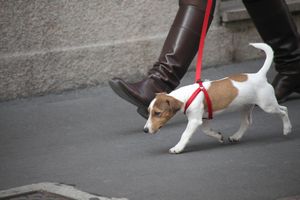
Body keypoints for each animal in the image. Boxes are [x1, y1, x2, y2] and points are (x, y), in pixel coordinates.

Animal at [144, 43, 292, 154]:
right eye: (149, 112)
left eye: (157, 113)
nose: (145, 130)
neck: (186, 96)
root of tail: (259, 75)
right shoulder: (204, 118)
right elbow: (206, 131)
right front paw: (218, 136)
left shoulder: (194, 120)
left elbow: (185, 134)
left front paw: (178, 148)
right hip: (247, 106)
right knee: (249, 121)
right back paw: (236, 136)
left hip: (267, 105)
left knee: (283, 111)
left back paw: (287, 129)